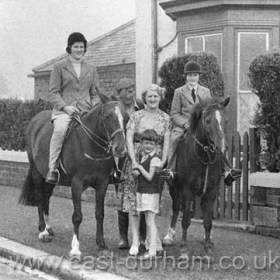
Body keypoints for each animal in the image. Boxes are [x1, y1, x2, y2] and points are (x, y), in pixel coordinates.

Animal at [18, 94, 126, 258]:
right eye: (107, 116)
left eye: (126, 117)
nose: (121, 149)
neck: (91, 145)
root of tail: (35, 120)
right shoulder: (77, 184)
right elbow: (77, 216)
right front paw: (75, 249)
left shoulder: (102, 184)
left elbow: (100, 214)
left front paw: (102, 245)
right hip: (37, 173)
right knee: (40, 198)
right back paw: (42, 231)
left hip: (50, 179)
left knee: (46, 197)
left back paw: (48, 228)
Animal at [162, 96, 230, 262]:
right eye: (208, 120)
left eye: (225, 120)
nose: (221, 148)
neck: (203, 156)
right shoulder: (186, 190)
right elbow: (186, 220)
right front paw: (184, 251)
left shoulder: (211, 192)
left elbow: (208, 222)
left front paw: (208, 251)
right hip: (174, 188)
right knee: (176, 209)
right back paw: (169, 236)